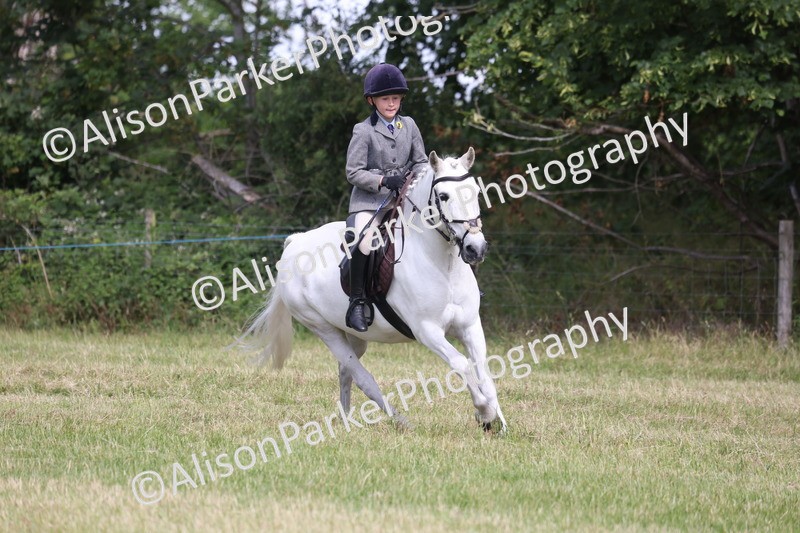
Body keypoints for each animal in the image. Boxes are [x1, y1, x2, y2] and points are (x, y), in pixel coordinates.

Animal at [240, 147, 507, 433]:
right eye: (443, 196)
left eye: (476, 192)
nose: (475, 248)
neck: (442, 266)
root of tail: (296, 242)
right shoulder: (427, 330)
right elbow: (462, 364)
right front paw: (484, 412)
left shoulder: (470, 325)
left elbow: (483, 369)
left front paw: (497, 421)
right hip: (321, 327)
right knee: (362, 377)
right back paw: (400, 422)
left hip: (354, 333)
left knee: (345, 370)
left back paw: (346, 421)